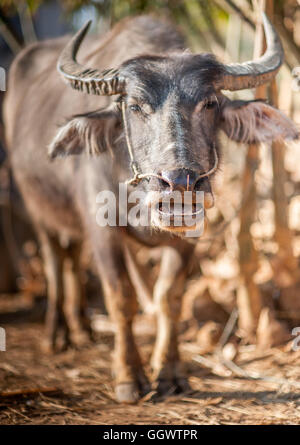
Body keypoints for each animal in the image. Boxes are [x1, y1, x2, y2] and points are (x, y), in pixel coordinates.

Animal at [3, 14, 298, 402]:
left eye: (209, 103)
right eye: (135, 106)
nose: (179, 183)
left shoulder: (190, 235)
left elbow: (168, 297)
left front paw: (170, 373)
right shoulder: (102, 230)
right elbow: (120, 297)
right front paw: (129, 376)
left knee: (74, 258)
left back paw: (83, 327)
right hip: (38, 209)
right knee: (55, 261)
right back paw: (58, 334)